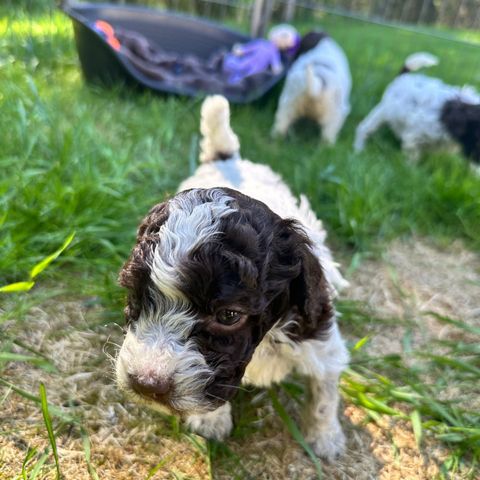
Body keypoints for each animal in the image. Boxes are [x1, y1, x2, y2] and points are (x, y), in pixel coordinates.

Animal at [116, 94, 348, 462]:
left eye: (228, 315)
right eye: (136, 294)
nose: (146, 384)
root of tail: (227, 158)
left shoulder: (318, 334)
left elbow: (324, 389)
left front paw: (325, 437)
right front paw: (211, 420)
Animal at [352, 51, 480, 162]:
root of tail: (403, 77)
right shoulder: (414, 136)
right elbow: (413, 157)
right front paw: (411, 169)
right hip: (383, 112)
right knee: (365, 128)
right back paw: (359, 148)